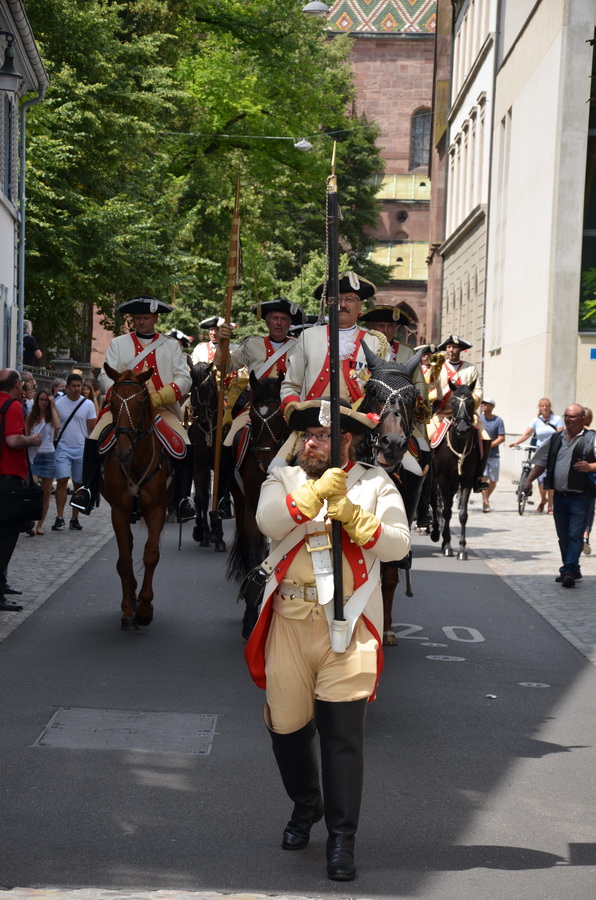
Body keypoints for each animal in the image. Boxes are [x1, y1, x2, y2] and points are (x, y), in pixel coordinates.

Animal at [100, 364, 174, 631]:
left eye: (141, 401)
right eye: (111, 401)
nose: (123, 451)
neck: (136, 464)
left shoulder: (158, 509)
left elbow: (151, 555)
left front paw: (144, 608)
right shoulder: (118, 512)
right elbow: (124, 560)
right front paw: (128, 611)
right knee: (129, 549)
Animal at [430, 380, 478, 560]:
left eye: (471, 402)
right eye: (454, 402)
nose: (462, 429)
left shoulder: (466, 481)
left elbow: (462, 514)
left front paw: (462, 549)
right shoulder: (443, 480)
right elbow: (446, 512)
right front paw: (448, 546)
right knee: (435, 503)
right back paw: (437, 533)